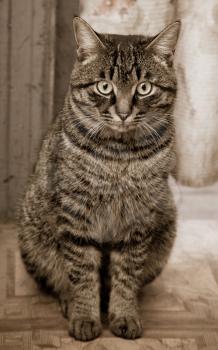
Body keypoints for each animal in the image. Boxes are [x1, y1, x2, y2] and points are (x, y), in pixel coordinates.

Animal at [17, 17, 181, 342]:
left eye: (144, 87)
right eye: (104, 86)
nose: (123, 112)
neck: (119, 155)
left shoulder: (139, 218)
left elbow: (127, 274)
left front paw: (125, 314)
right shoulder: (76, 214)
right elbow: (82, 274)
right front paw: (84, 316)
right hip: (32, 235)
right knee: (59, 279)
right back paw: (69, 301)